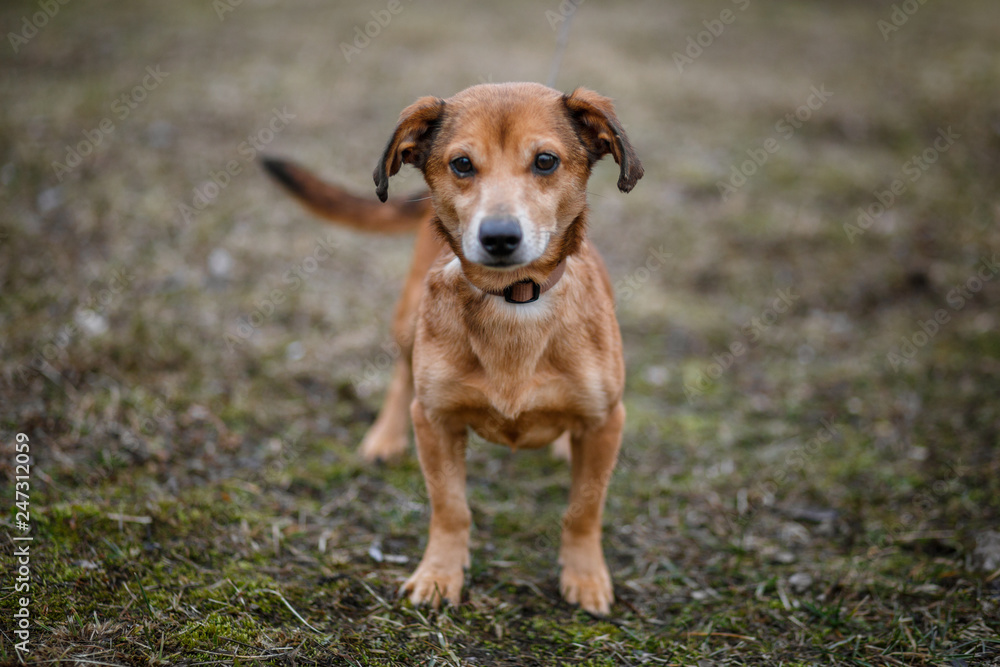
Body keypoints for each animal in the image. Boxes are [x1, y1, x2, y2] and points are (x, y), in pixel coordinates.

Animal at [262, 82, 644, 616]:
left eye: (546, 161)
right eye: (462, 164)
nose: (499, 237)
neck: (514, 300)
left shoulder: (607, 421)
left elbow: (584, 509)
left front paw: (585, 577)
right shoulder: (436, 421)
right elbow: (450, 507)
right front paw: (440, 575)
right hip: (407, 322)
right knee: (402, 375)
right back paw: (384, 439)